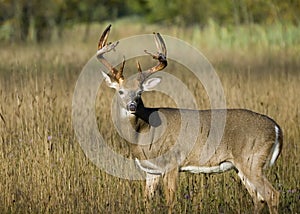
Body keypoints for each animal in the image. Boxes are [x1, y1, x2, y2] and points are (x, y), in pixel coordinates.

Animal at [97, 24, 282, 212]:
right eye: (120, 91)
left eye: (140, 92)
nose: (132, 106)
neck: (143, 132)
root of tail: (276, 128)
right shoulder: (151, 171)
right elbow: (146, 201)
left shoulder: (171, 163)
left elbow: (170, 202)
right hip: (242, 166)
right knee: (258, 198)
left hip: (252, 160)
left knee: (272, 194)